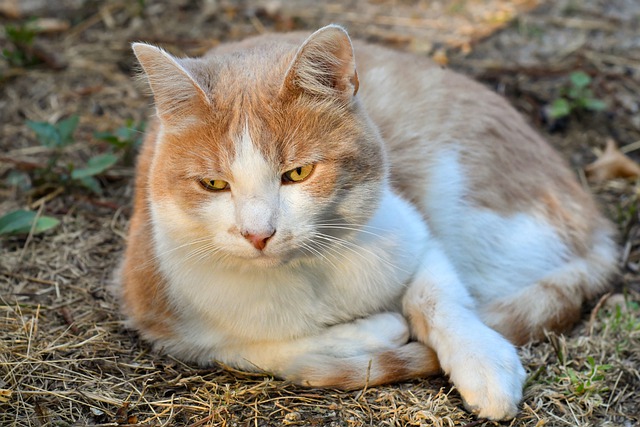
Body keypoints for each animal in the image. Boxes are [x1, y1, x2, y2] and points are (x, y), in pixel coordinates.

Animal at [117, 25, 616, 422]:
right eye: (214, 184)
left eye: (298, 173)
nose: (259, 234)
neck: (308, 273)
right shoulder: (160, 315)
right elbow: (256, 348)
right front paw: (372, 331)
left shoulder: (418, 235)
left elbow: (439, 301)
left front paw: (484, 363)